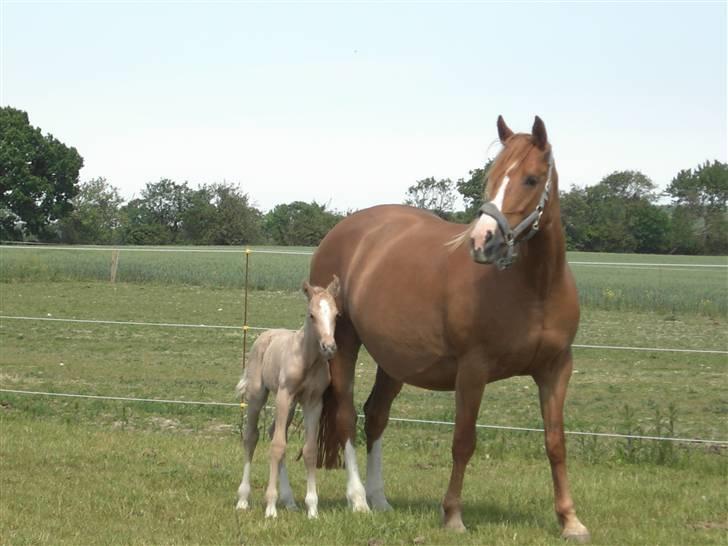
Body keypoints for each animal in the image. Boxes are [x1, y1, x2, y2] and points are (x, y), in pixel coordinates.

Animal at [235, 274, 340, 516]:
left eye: (336, 314)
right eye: (311, 314)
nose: (329, 347)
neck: (307, 359)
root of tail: (264, 335)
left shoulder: (313, 402)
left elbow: (309, 450)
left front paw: (312, 509)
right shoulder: (283, 396)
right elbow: (277, 446)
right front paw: (270, 508)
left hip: (292, 407)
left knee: (274, 430)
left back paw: (290, 500)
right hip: (258, 396)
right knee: (252, 436)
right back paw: (243, 499)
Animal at [310, 115, 588, 540]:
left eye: (531, 178)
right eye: (492, 176)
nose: (483, 241)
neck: (536, 287)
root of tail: (342, 231)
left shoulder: (556, 369)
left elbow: (556, 442)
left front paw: (570, 520)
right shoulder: (473, 370)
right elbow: (463, 441)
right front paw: (453, 515)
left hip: (394, 360)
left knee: (375, 416)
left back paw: (380, 499)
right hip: (342, 343)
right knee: (346, 416)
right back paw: (358, 500)